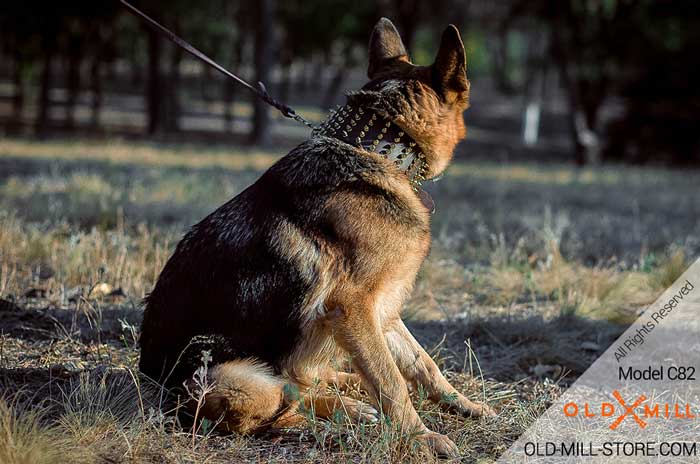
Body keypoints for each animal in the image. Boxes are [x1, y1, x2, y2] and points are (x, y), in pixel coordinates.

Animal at [141, 18, 492, 456]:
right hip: (230, 379)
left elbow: (420, 364)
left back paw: (349, 393)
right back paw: (343, 418)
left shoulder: (384, 309)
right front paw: (421, 438)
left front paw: (462, 404)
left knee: (306, 382)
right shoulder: (353, 308)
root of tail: (149, 381)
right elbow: (391, 382)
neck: (378, 149)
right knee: (283, 402)